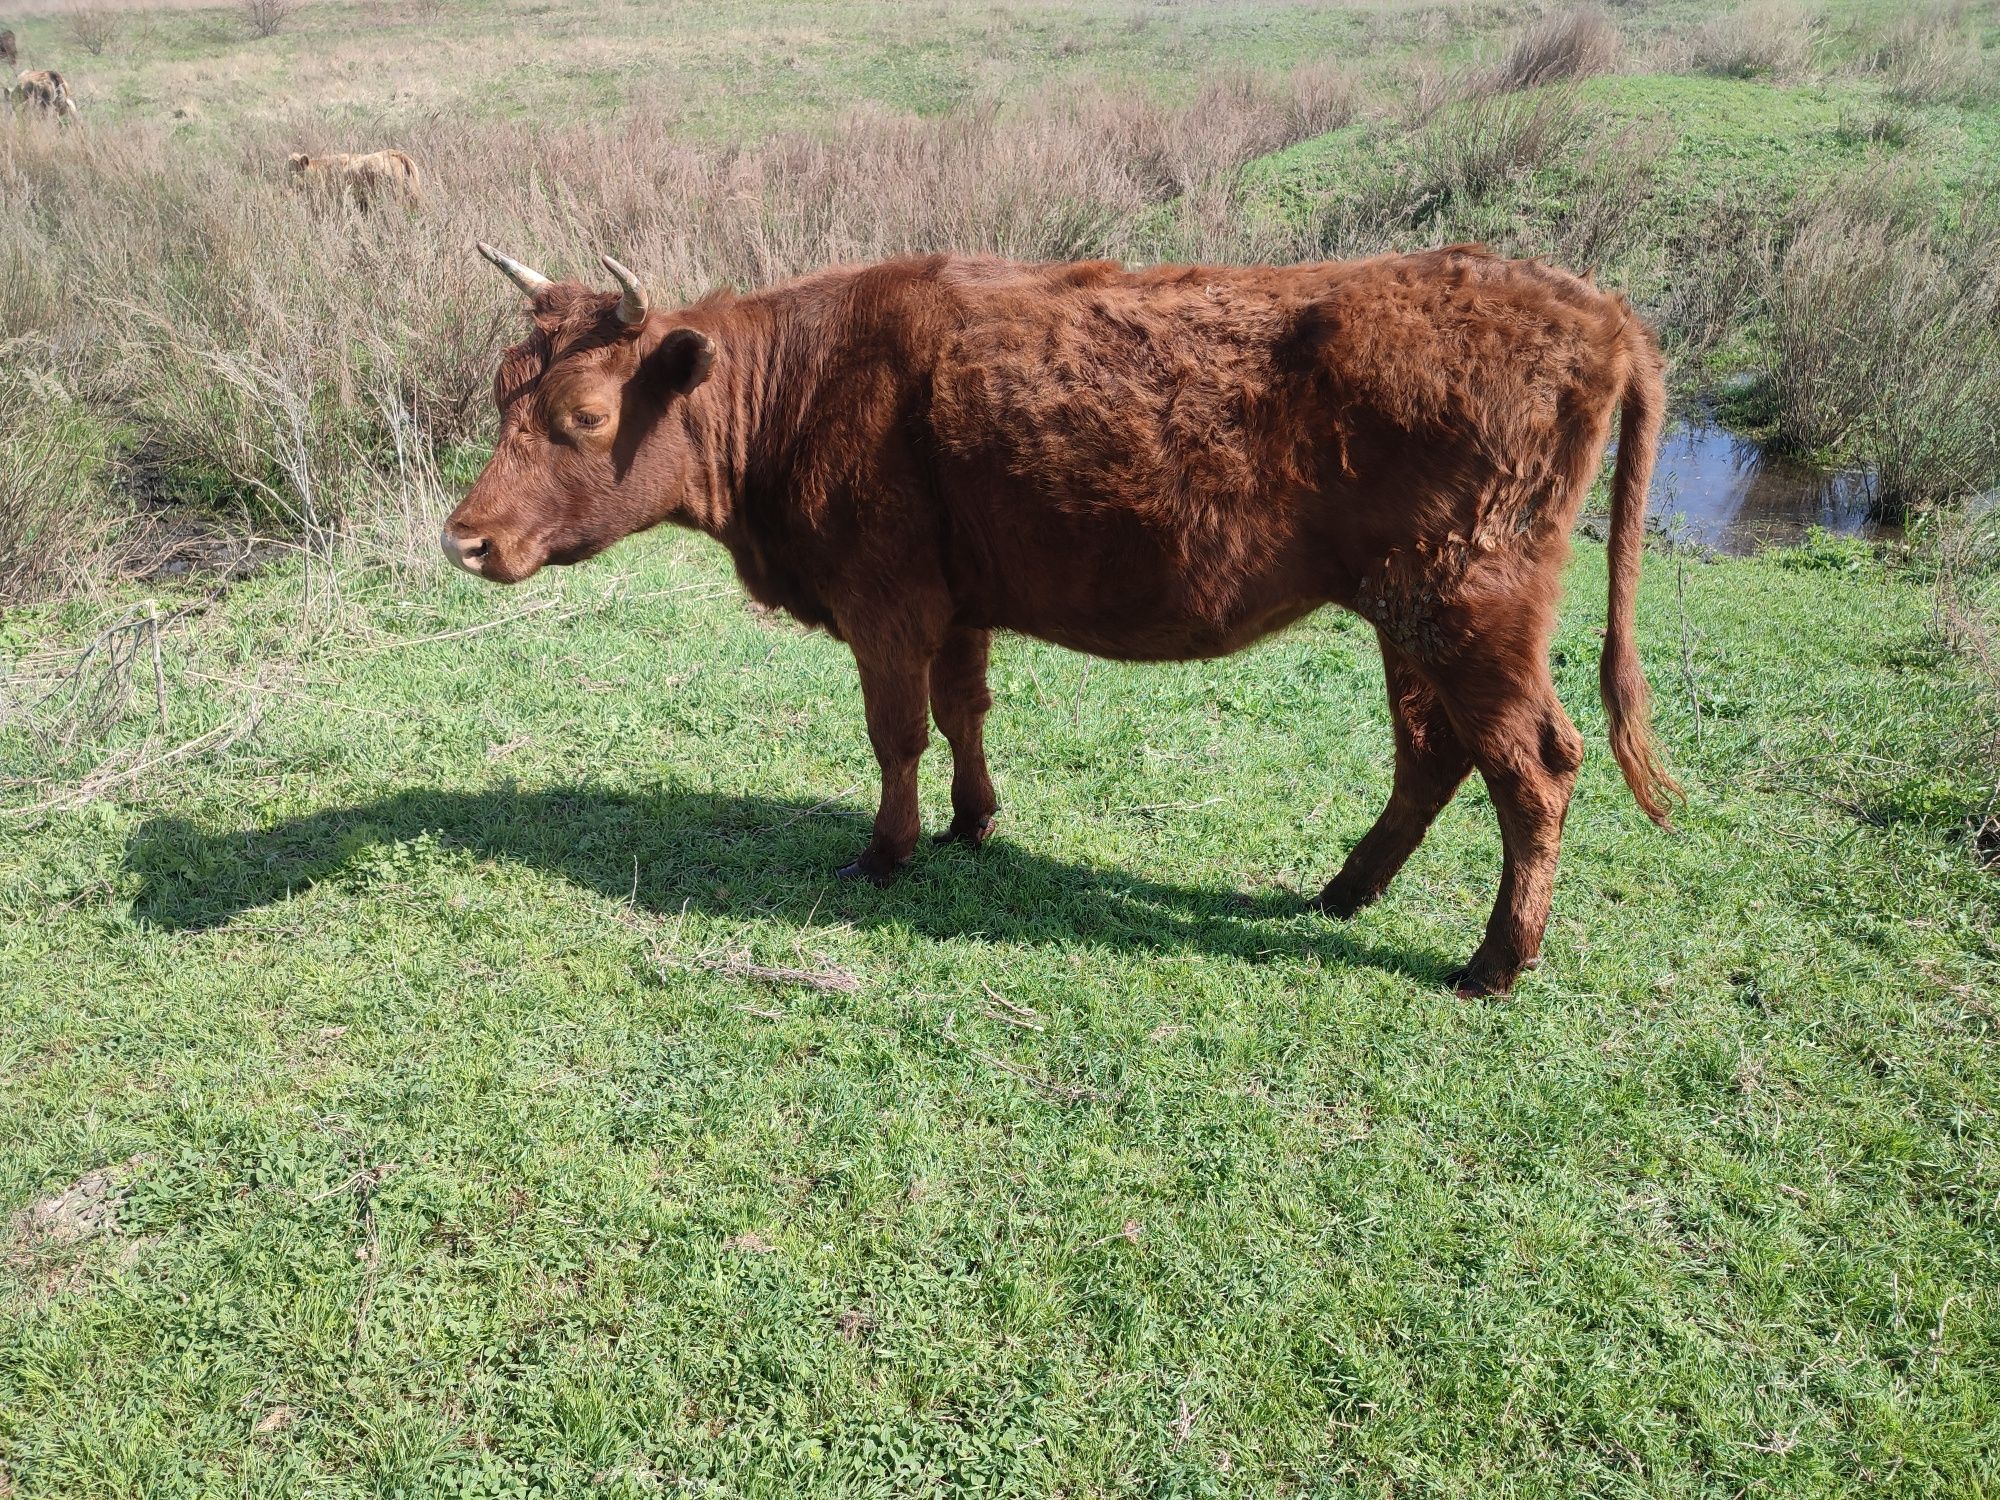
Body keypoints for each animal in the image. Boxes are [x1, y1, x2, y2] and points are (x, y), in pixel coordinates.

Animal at [446, 247, 1680, 1000]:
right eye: (500, 393)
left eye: (584, 415)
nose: (463, 539)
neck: (807, 382)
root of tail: (1592, 308)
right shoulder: (957, 603)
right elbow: (963, 715)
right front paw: (972, 823)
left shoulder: (884, 600)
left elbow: (896, 734)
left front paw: (886, 853)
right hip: (1409, 615)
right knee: (1432, 754)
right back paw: (1344, 892)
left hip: (1468, 608)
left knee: (1533, 767)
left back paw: (1494, 961)